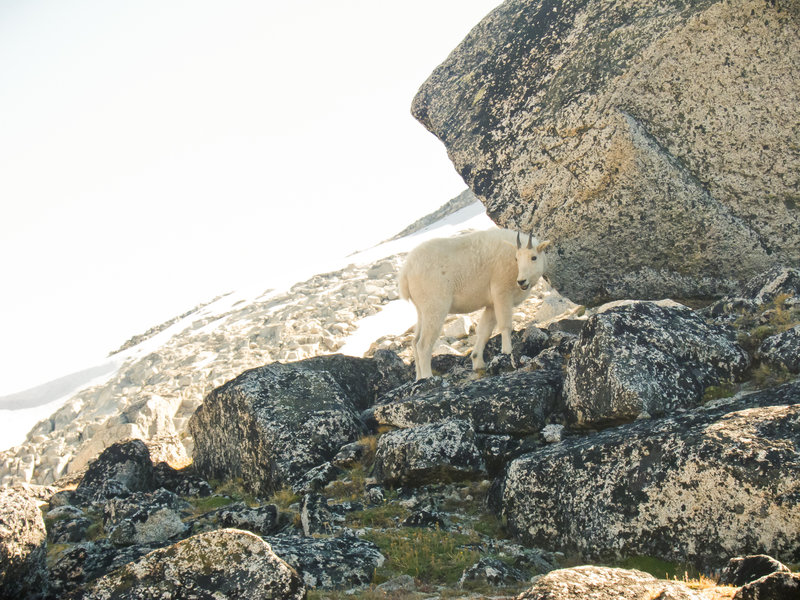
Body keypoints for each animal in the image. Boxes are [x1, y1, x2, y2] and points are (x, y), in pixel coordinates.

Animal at [399, 228, 551, 380]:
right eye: (517, 258)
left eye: (533, 257)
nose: (521, 281)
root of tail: (406, 272)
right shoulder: (502, 293)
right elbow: (505, 326)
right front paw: (507, 353)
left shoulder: (491, 304)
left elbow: (484, 331)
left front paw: (478, 362)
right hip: (435, 307)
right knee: (423, 344)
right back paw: (427, 376)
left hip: (422, 310)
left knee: (414, 342)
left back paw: (418, 378)